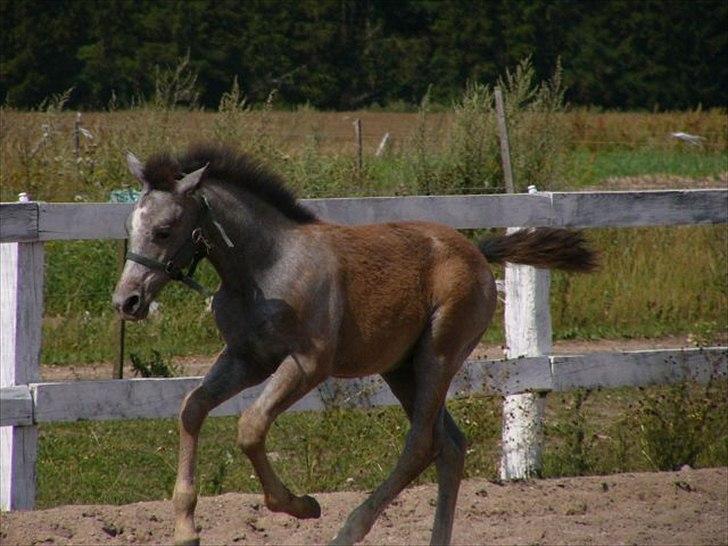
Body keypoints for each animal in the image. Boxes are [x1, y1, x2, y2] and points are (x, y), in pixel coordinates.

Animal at [112, 143, 597, 545]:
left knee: (421, 445)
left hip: (437, 356)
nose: (126, 301)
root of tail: (479, 253)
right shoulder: (246, 358)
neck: (264, 269)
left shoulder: (309, 363)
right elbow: (192, 407)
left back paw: (348, 530)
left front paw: (302, 506)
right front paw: (185, 529)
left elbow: (250, 426)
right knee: (450, 445)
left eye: (164, 229)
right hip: (400, 369)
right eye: (130, 225)